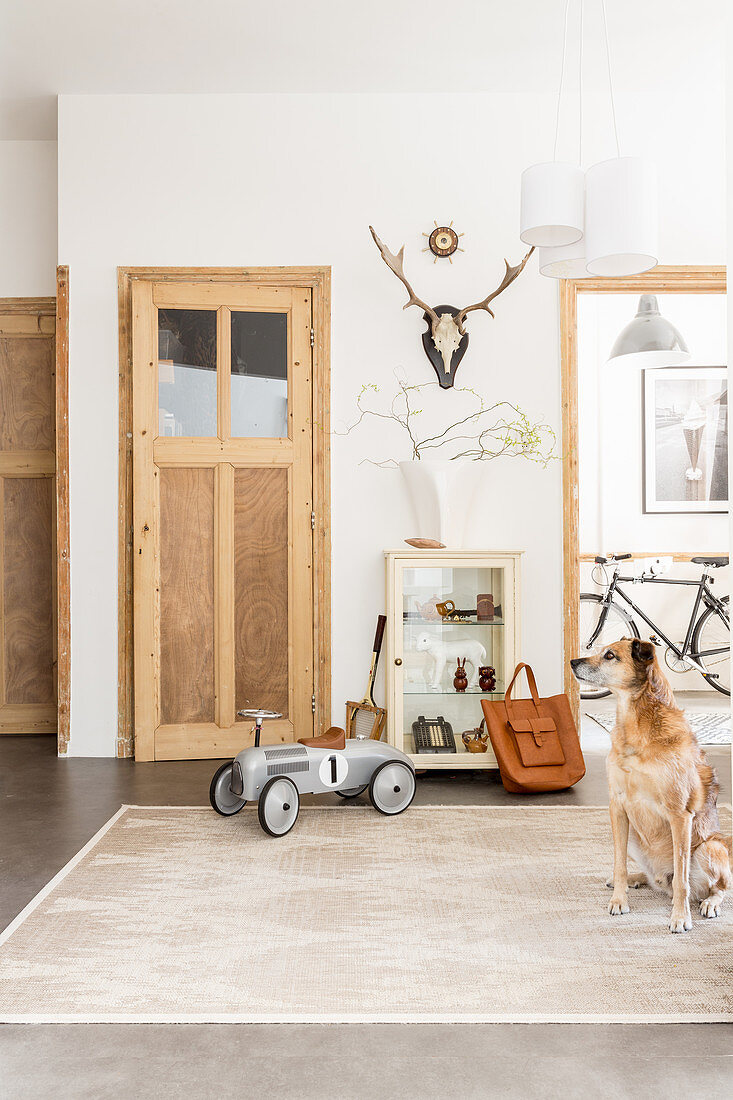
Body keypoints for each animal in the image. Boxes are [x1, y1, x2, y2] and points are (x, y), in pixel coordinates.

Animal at [567, 642, 726, 932]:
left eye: (610, 655)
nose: (572, 662)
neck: (636, 727)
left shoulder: (679, 815)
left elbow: (682, 880)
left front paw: (680, 917)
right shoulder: (617, 806)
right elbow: (618, 863)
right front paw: (618, 900)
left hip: (712, 848)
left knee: (715, 887)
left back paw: (708, 903)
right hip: (630, 833)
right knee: (650, 877)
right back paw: (636, 878)